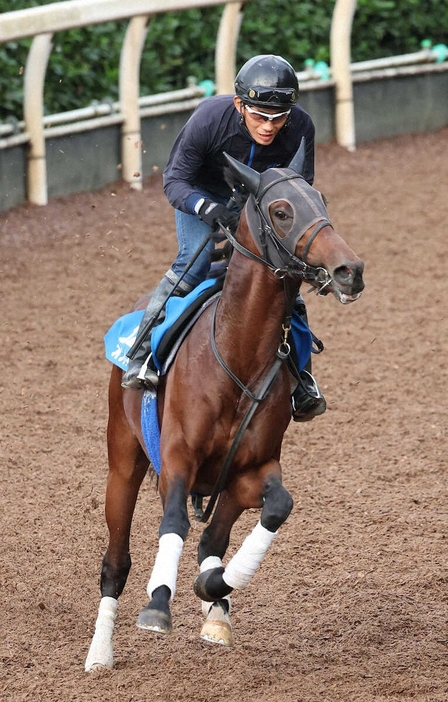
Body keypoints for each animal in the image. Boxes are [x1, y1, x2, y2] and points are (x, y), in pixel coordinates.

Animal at [84, 140, 364, 672]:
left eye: (322, 200)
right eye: (281, 211)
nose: (349, 270)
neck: (237, 357)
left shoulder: (251, 470)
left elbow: (276, 507)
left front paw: (214, 590)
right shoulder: (176, 457)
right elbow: (173, 522)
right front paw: (158, 603)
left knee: (211, 539)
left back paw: (215, 605)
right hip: (123, 460)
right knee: (116, 560)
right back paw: (99, 653)